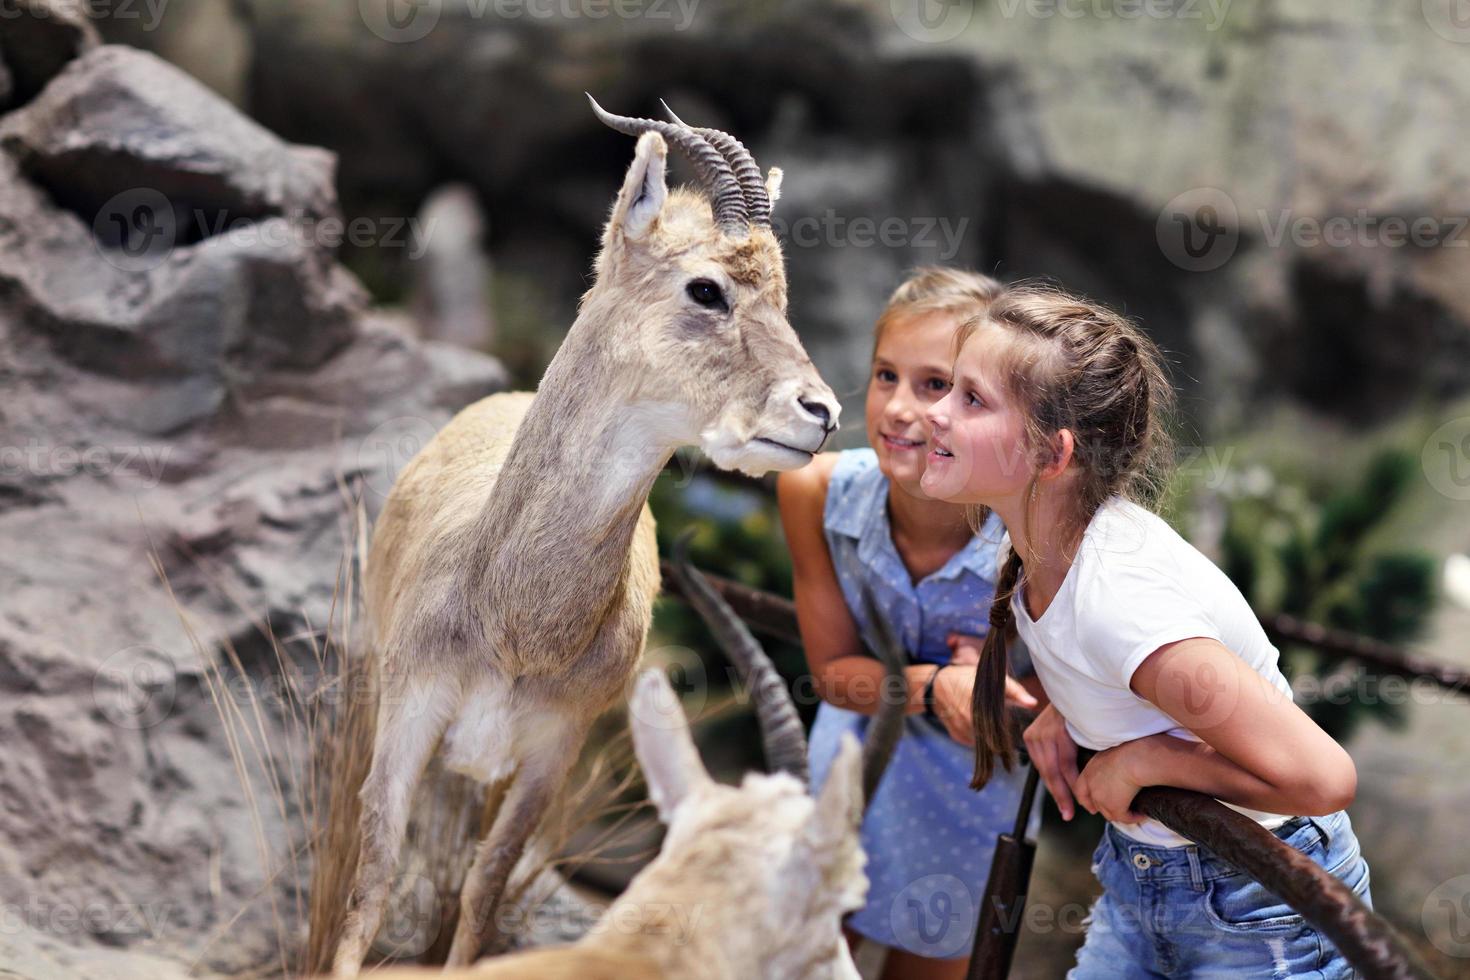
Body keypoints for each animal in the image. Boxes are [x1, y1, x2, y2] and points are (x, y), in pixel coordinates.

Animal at [333, 97, 840, 975]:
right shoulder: (408, 716)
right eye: (706, 287)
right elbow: (372, 880)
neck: (511, 621)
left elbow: (484, 891)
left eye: (782, 296)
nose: (820, 412)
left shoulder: (551, 754)